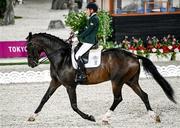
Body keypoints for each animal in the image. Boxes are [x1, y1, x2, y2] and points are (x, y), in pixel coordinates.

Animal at [26, 32, 176, 123]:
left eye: (28, 47)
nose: (31, 64)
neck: (62, 58)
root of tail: (133, 55)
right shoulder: (55, 82)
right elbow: (44, 99)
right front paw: (32, 116)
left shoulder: (70, 86)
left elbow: (74, 106)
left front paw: (89, 117)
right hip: (130, 81)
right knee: (143, 95)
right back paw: (154, 116)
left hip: (117, 81)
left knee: (118, 98)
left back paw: (105, 118)